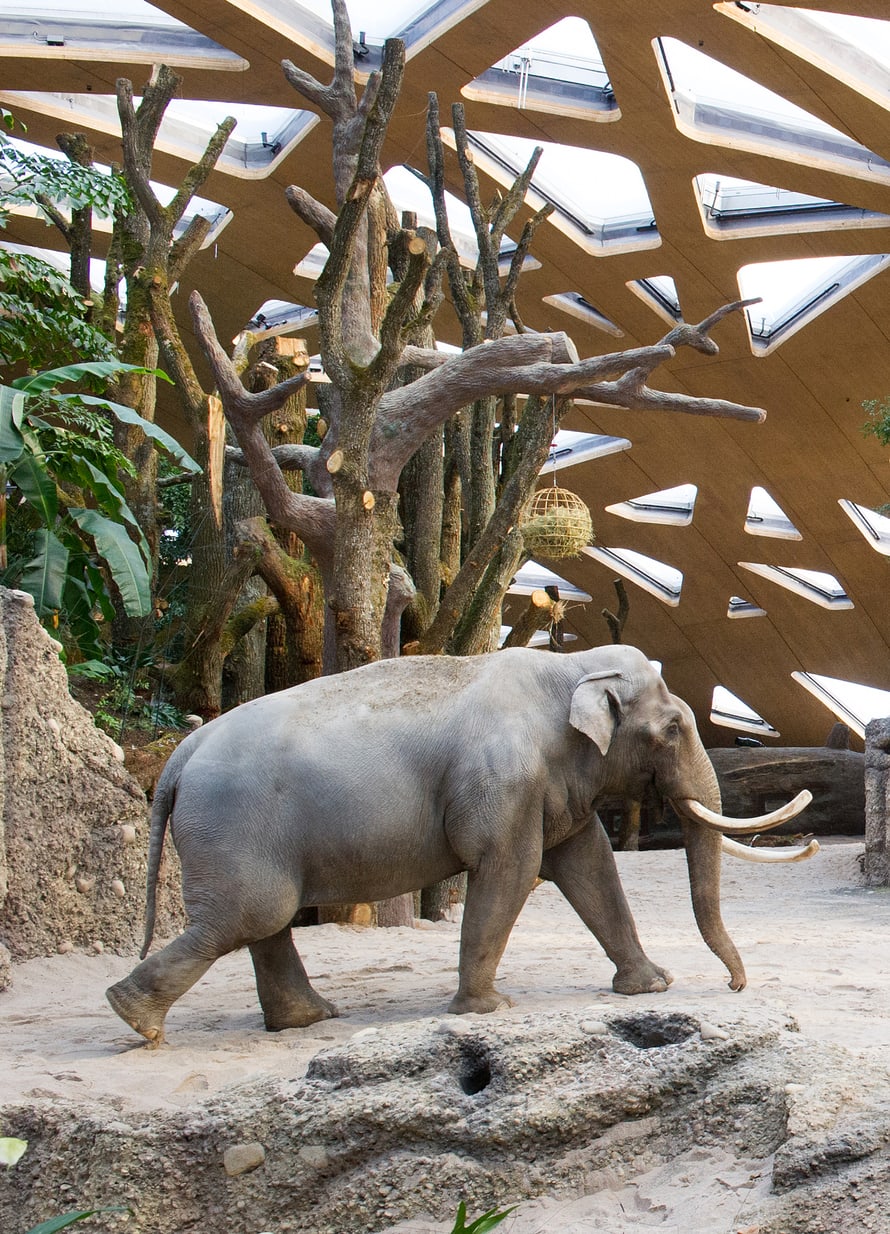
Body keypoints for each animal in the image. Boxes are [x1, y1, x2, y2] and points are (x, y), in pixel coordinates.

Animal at [104, 641, 814, 1046]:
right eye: (671, 729)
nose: (735, 988)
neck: (568, 669)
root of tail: (180, 753)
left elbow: (590, 866)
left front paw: (652, 987)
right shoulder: (505, 781)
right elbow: (509, 870)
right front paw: (488, 1010)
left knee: (263, 923)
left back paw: (308, 1020)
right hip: (233, 828)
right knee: (246, 917)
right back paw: (135, 1018)